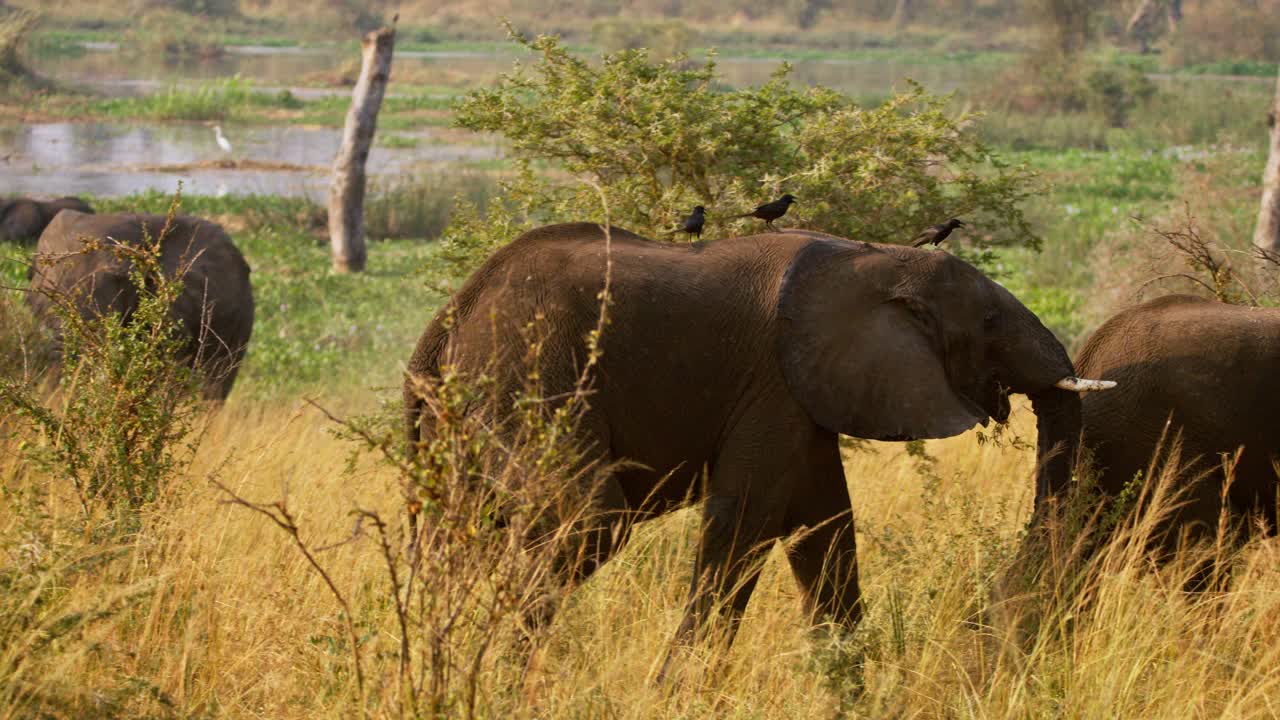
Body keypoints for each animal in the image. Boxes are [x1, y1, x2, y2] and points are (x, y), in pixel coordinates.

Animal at [403, 222, 1113, 658]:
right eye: (990, 320)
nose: (1002, 619)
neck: (871, 257)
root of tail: (445, 323)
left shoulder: (806, 391)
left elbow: (824, 526)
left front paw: (850, 684)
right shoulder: (774, 379)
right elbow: (747, 520)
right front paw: (679, 690)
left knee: (456, 537)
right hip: (529, 376)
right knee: (590, 519)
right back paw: (502, 667)